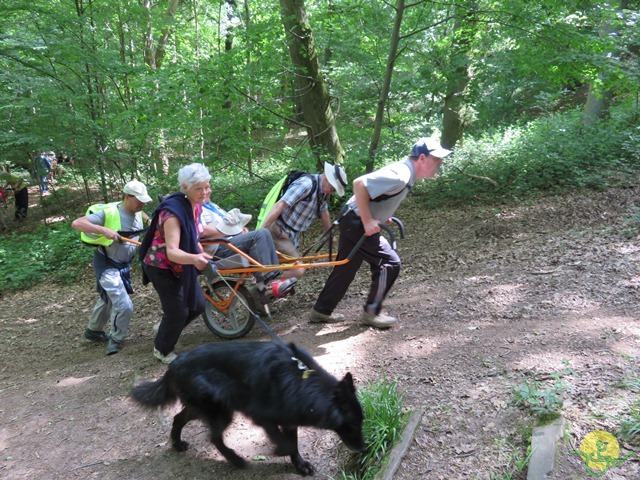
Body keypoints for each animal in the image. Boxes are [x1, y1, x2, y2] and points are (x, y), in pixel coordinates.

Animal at [129, 344, 364, 474]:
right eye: (352, 425)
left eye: (362, 422)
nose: (363, 449)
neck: (302, 381)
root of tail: (174, 364)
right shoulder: (263, 418)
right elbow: (286, 444)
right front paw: (278, 452)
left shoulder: (289, 421)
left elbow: (294, 445)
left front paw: (300, 466)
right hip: (221, 412)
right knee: (214, 437)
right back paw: (235, 459)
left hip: (203, 409)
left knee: (178, 418)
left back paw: (177, 444)